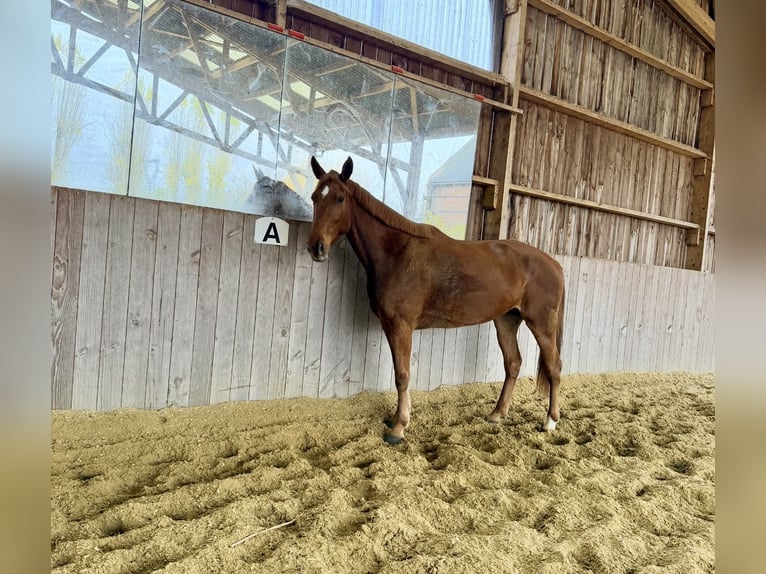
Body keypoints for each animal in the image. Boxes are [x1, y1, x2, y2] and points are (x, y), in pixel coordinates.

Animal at [307, 156, 566, 445]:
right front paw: (398, 419)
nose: (316, 247)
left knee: (554, 366)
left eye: (340, 198)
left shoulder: (402, 325)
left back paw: (550, 422)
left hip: (540, 323)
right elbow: (399, 372)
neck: (397, 252)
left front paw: (398, 429)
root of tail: (554, 264)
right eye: (315, 197)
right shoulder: (390, 325)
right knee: (513, 363)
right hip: (506, 320)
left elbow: (403, 375)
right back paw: (496, 414)